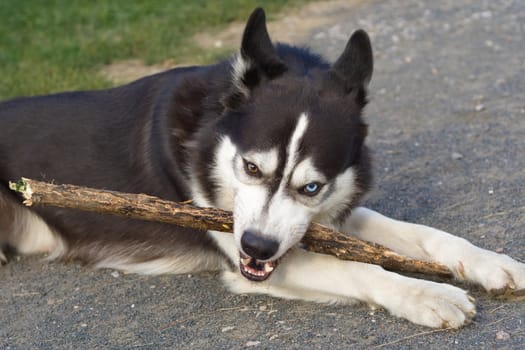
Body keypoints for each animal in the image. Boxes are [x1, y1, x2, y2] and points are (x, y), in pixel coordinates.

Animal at [1, 8, 524, 328]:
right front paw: (425, 294)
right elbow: (362, 270)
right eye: (250, 167)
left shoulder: (327, 218)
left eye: (312, 187)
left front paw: (490, 262)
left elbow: (423, 235)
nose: (256, 247)